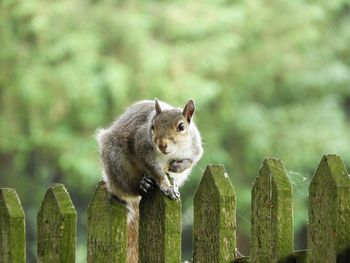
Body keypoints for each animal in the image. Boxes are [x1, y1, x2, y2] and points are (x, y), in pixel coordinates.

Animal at [97, 98, 204, 262]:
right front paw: (166, 186)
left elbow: (192, 160)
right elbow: (156, 171)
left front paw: (178, 167)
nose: (161, 144)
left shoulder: (195, 148)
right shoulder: (143, 146)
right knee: (130, 188)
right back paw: (144, 183)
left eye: (181, 127)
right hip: (117, 163)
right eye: (152, 126)